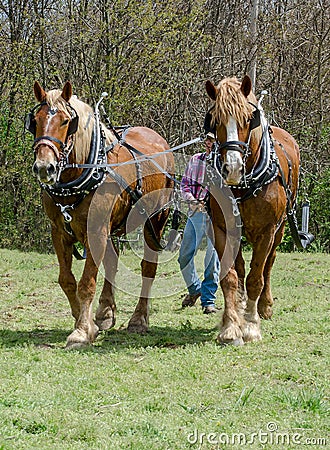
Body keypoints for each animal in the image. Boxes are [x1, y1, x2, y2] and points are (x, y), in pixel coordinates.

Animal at [27, 80, 175, 348]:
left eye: (66, 121)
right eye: (35, 120)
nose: (45, 167)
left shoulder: (95, 231)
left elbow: (86, 283)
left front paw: (81, 331)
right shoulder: (59, 232)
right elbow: (67, 280)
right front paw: (87, 322)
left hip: (156, 220)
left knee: (148, 267)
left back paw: (139, 319)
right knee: (113, 261)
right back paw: (106, 312)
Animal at [205, 75, 300, 346]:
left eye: (249, 119)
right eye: (215, 120)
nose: (233, 168)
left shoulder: (267, 231)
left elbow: (256, 277)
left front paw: (250, 326)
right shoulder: (221, 228)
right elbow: (230, 277)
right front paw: (231, 326)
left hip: (279, 230)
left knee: (268, 264)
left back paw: (264, 306)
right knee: (239, 270)